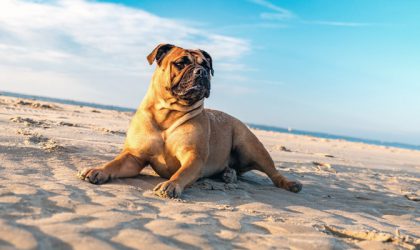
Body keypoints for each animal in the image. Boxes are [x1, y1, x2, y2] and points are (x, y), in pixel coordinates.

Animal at [79, 44, 302, 198]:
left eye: (207, 66)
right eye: (181, 63)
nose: (201, 72)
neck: (168, 114)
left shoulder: (193, 157)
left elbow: (182, 172)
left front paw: (171, 184)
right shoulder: (134, 157)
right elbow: (114, 163)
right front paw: (99, 170)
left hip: (251, 146)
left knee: (274, 173)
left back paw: (289, 184)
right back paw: (228, 174)